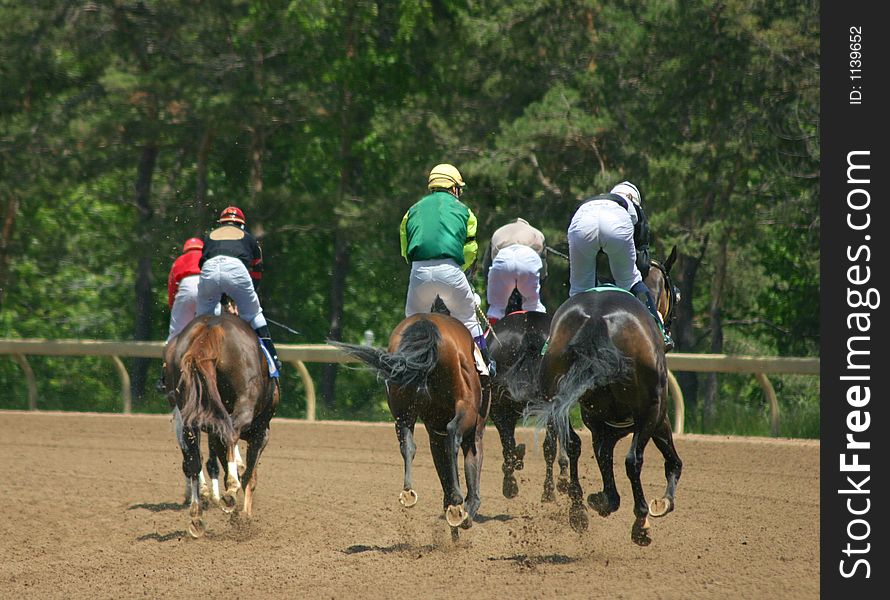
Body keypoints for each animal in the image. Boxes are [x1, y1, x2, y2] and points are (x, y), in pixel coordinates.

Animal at [163, 312, 280, 536]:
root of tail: (210, 329)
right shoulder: (261, 432)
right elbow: (250, 475)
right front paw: (243, 516)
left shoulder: (213, 434)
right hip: (244, 402)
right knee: (231, 432)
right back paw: (230, 492)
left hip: (186, 412)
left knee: (193, 458)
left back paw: (197, 516)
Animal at [332, 300, 490, 540]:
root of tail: (426, 325)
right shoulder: (474, 431)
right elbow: (470, 462)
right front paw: (465, 511)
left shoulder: (434, 431)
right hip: (466, 407)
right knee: (453, 435)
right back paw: (457, 502)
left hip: (402, 408)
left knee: (407, 443)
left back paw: (409, 493)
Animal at [506, 284, 680, 544]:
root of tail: (597, 321)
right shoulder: (657, 418)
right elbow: (672, 462)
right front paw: (663, 503)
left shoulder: (602, 426)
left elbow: (603, 460)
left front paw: (601, 500)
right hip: (649, 410)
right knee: (633, 459)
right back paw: (640, 521)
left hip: (558, 396)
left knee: (572, 443)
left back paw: (578, 511)